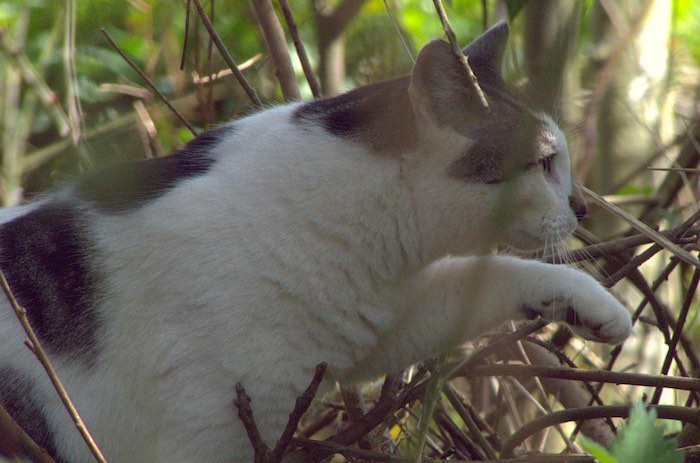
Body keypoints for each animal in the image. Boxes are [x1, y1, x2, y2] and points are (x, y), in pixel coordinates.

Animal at [0, 22, 632, 463]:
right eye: (546, 162)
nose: (580, 206)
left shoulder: (384, 327)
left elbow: (489, 276)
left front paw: (595, 307)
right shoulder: (207, 434)